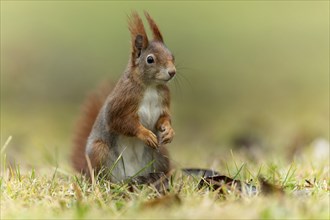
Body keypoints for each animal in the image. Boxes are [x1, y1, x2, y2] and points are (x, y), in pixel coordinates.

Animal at [71, 11, 177, 182]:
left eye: (172, 56)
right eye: (150, 59)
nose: (172, 72)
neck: (151, 87)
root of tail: (132, 175)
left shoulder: (164, 98)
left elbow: (164, 117)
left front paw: (169, 130)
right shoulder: (122, 100)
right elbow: (120, 122)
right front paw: (145, 134)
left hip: (161, 155)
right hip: (99, 151)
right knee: (101, 175)